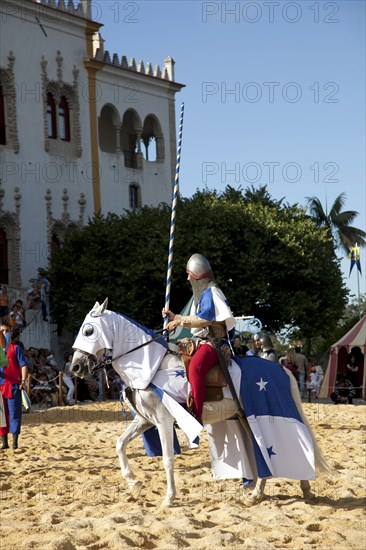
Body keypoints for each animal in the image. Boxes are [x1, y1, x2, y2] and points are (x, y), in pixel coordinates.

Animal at [70, 302, 330, 508]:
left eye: (89, 330)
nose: (75, 368)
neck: (151, 368)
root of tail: (283, 370)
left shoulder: (164, 421)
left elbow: (167, 458)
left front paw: (169, 498)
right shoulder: (145, 420)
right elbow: (120, 444)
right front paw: (134, 483)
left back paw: (297, 488)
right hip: (246, 419)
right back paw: (264, 493)